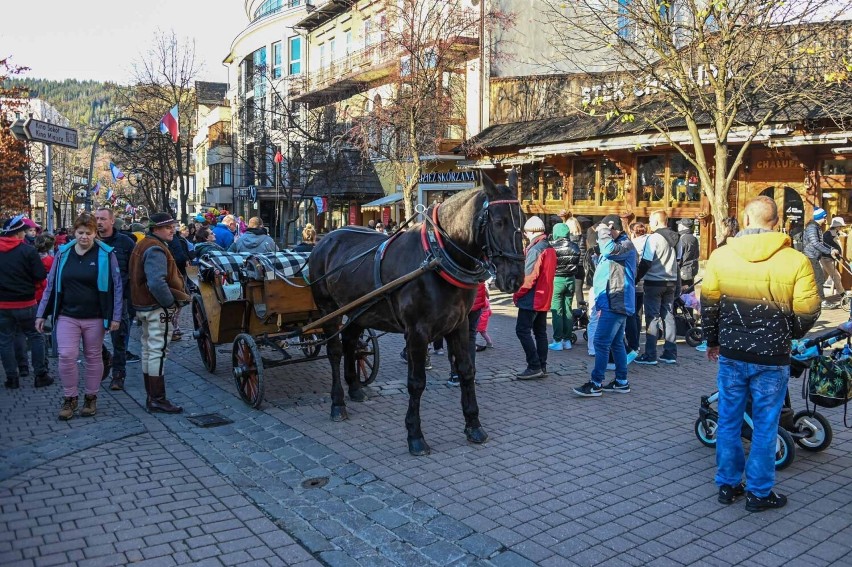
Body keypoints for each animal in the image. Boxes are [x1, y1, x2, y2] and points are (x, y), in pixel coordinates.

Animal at [310, 178, 524, 458]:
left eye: (523, 218)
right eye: (498, 222)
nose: (515, 279)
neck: (437, 258)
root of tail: (326, 239)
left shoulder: (460, 324)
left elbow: (467, 371)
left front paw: (474, 425)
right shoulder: (417, 332)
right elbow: (416, 382)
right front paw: (415, 435)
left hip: (359, 311)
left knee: (350, 342)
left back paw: (355, 388)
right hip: (328, 309)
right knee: (335, 350)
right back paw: (337, 403)